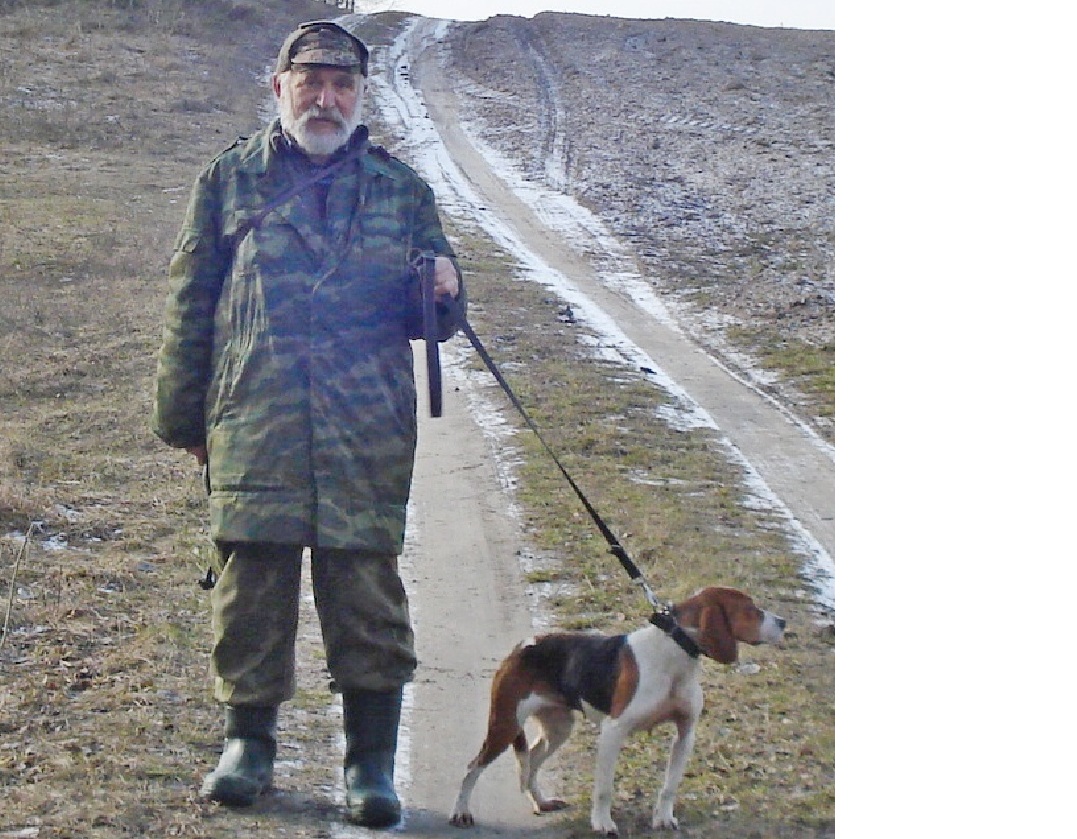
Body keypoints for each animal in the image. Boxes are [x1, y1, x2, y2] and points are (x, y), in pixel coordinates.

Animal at [449, 586, 786, 836]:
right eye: (751, 609)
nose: (783, 622)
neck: (675, 653)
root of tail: (522, 646)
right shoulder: (613, 732)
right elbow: (604, 789)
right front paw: (602, 823)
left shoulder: (685, 733)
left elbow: (670, 785)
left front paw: (663, 819)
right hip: (504, 725)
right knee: (473, 766)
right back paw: (461, 812)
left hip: (559, 727)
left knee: (531, 759)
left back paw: (541, 802)